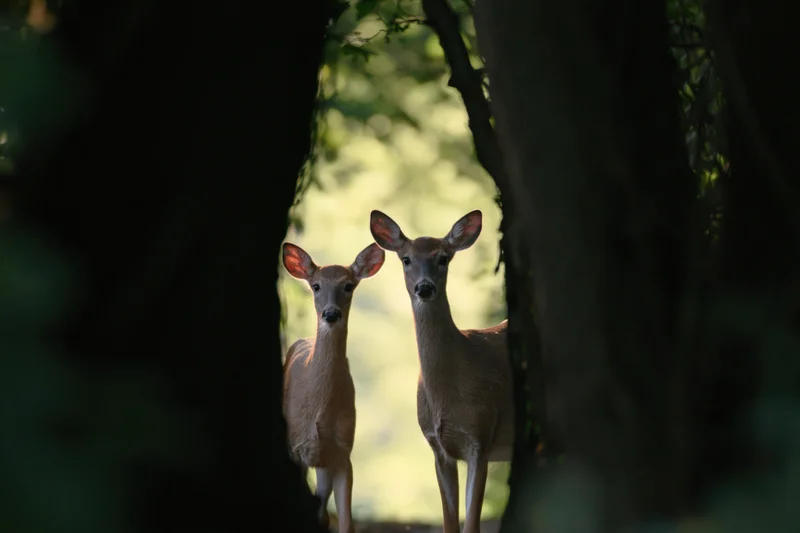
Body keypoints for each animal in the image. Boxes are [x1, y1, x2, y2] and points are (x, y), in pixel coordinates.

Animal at [281, 241, 386, 533]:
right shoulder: (296, 448)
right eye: (316, 285)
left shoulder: (342, 450)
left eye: (348, 285)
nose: (330, 313)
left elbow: (346, 522)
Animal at [369, 209, 513, 533]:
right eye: (406, 258)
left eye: (444, 258)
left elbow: (471, 524)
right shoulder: (438, 447)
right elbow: (450, 523)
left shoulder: (480, 436)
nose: (424, 287)